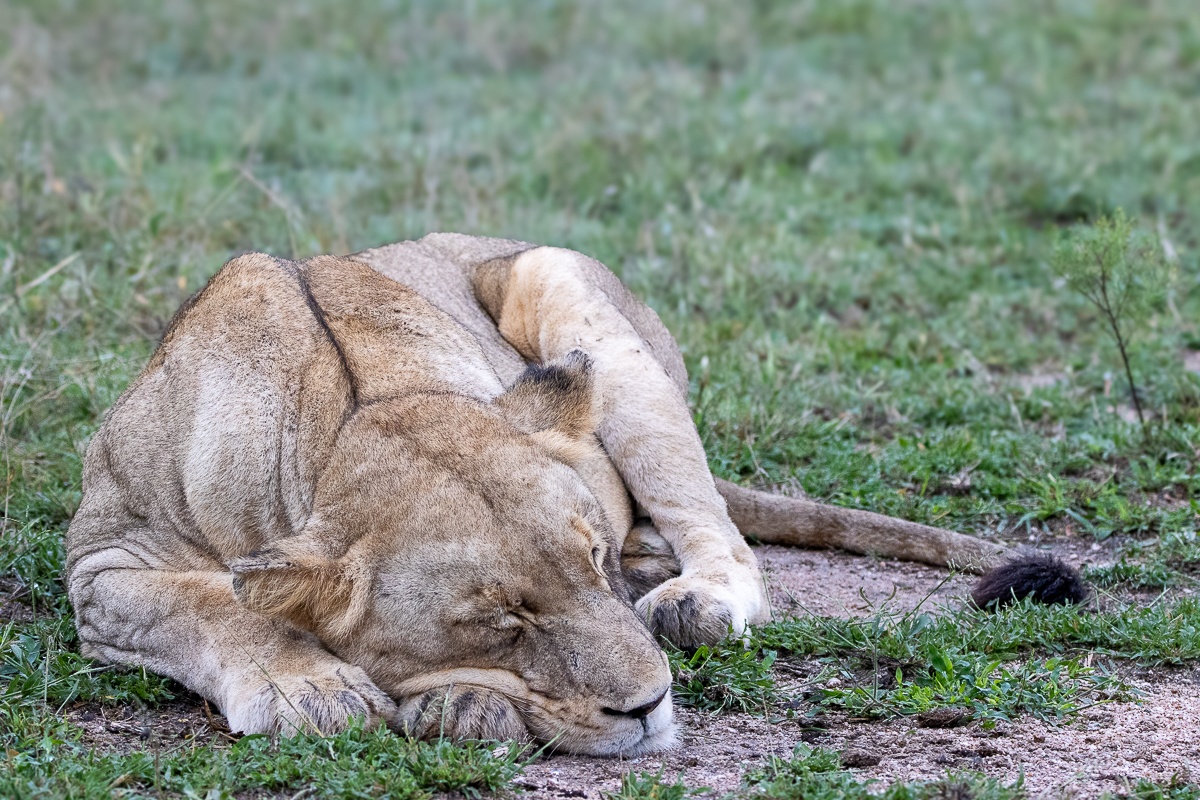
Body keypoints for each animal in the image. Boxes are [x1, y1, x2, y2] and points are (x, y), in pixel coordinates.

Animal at [65, 234, 1083, 756]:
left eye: (587, 561)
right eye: (500, 618)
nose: (651, 707)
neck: (352, 412)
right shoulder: (102, 559)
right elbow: (215, 610)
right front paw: (313, 686)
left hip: (560, 281)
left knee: (725, 540)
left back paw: (689, 600)